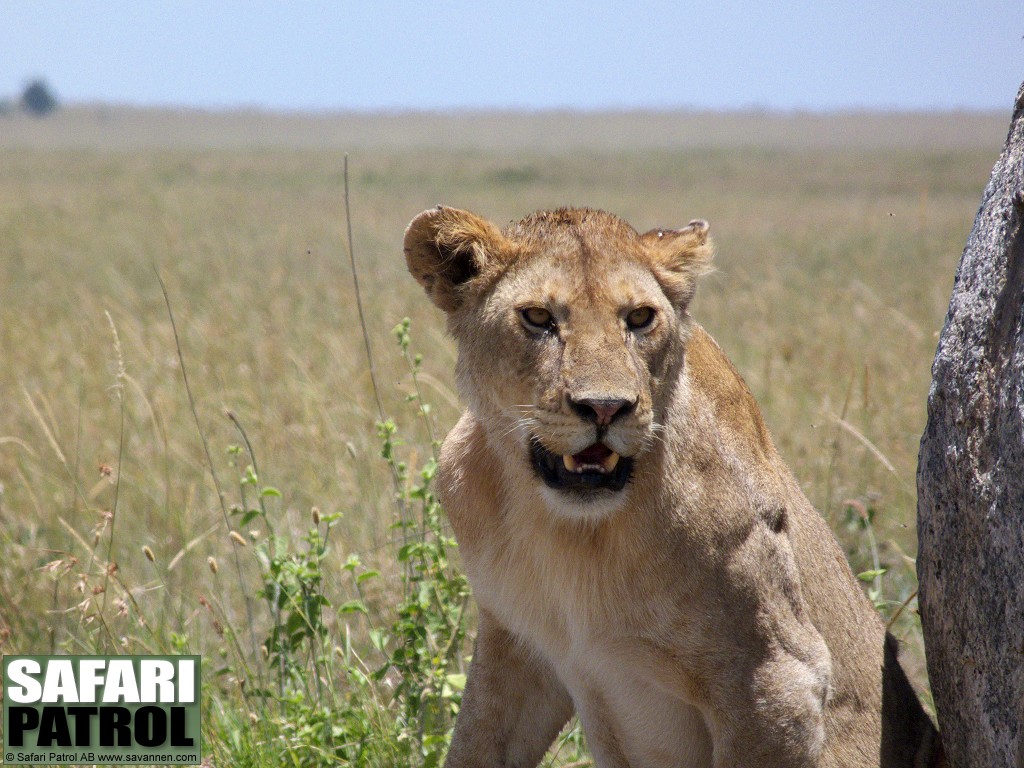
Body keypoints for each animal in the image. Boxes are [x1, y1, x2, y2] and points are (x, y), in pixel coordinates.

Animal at [401, 205, 942, 768]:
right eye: (537, 317)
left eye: (640, 318)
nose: (605, 408)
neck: (570, 533)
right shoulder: (514, 645)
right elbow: (474, 745)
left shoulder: (776, 677)